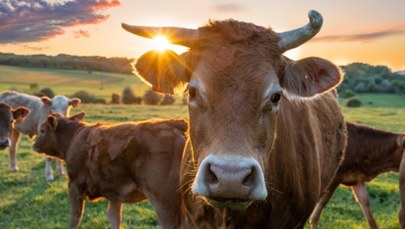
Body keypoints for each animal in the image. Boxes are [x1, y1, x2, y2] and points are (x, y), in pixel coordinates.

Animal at [32, 113, 187, 229]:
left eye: (42, 130)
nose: (34, 144)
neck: (73, 137)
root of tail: (174, 124)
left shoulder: (75, 186)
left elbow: (75, 218)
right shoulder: (114, 192)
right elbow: (114, 218)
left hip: (165, 202)